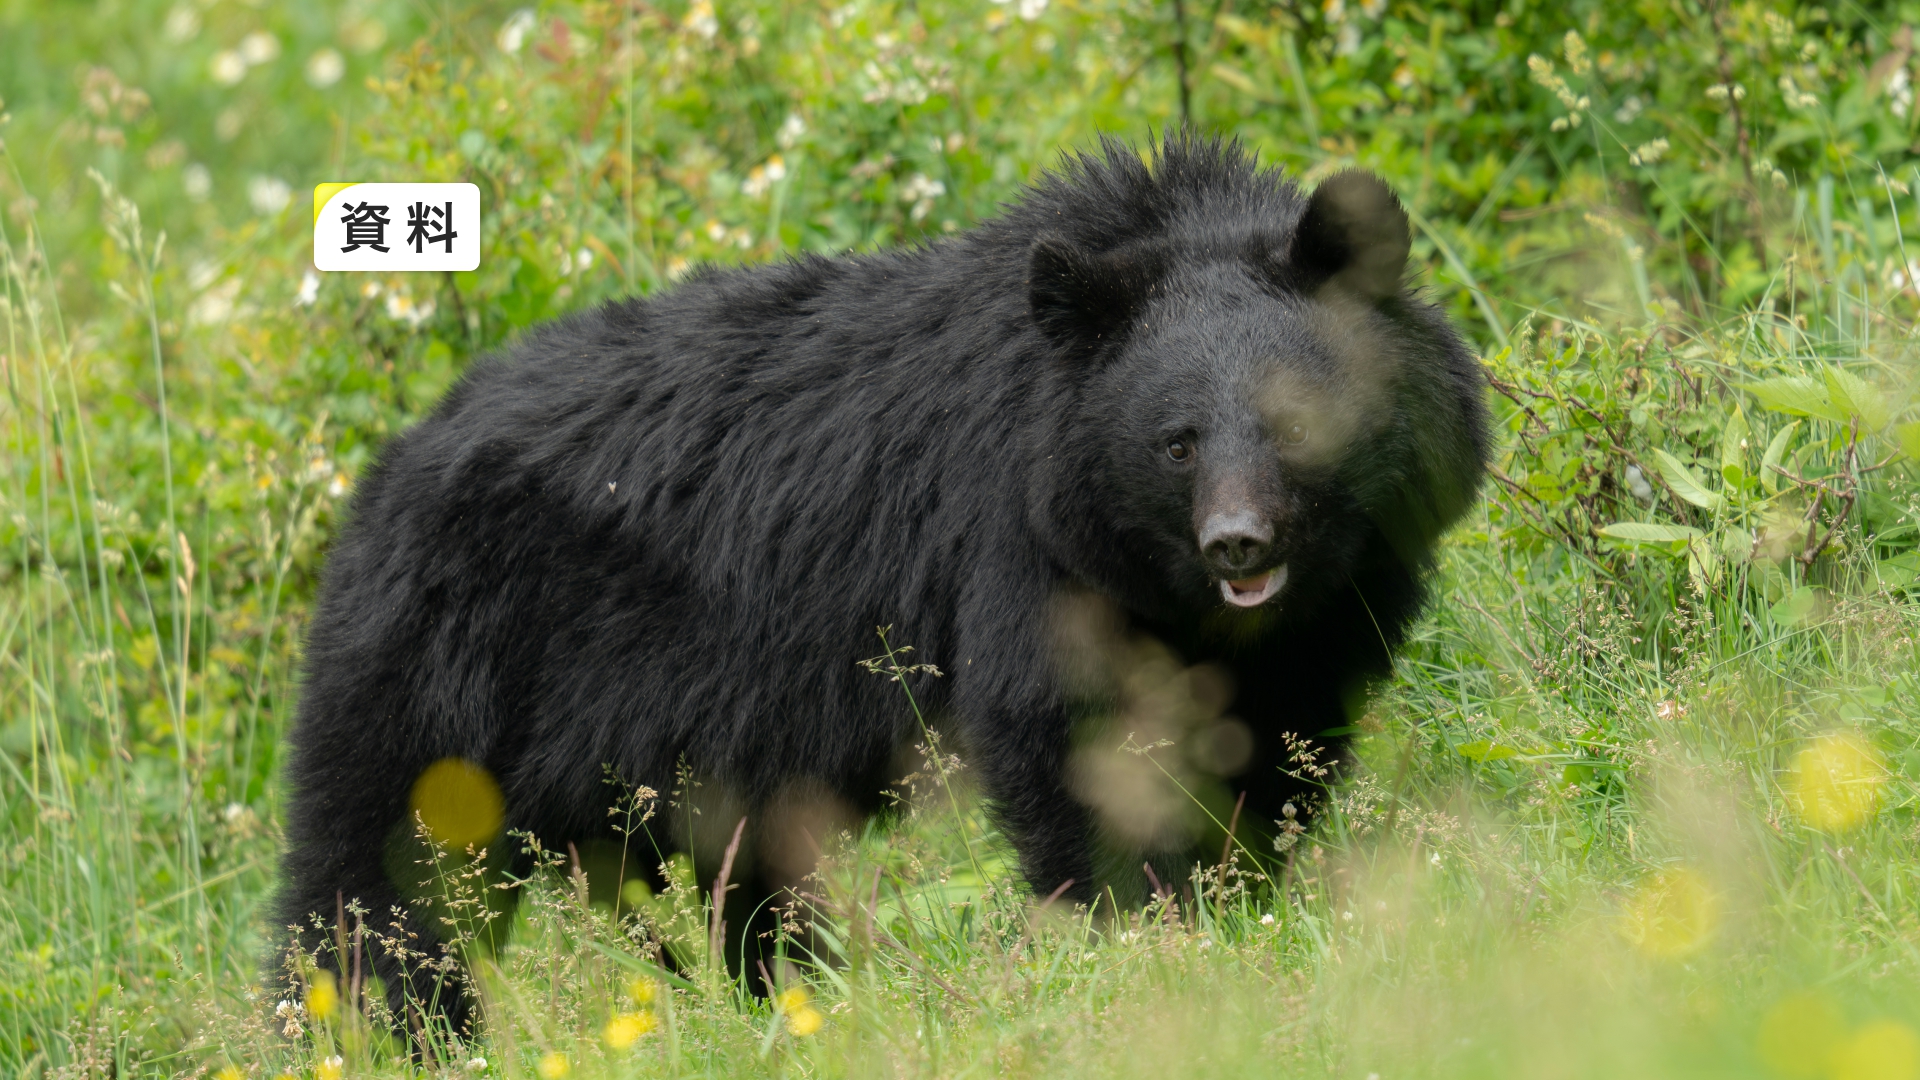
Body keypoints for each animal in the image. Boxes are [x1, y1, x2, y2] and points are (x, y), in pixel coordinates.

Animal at [273, 132, 1488, 1032]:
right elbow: (1065, 734)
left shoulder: (1333, 602)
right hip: (443, 673)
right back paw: (371, 1031)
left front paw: (1250, 894)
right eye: (1177, 443)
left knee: (734, 884)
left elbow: (1278, 735)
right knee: (376, 877)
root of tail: (382, 475)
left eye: (1295, 420)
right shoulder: (1022, 544)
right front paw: (1145, 928)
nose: (1238, 545)